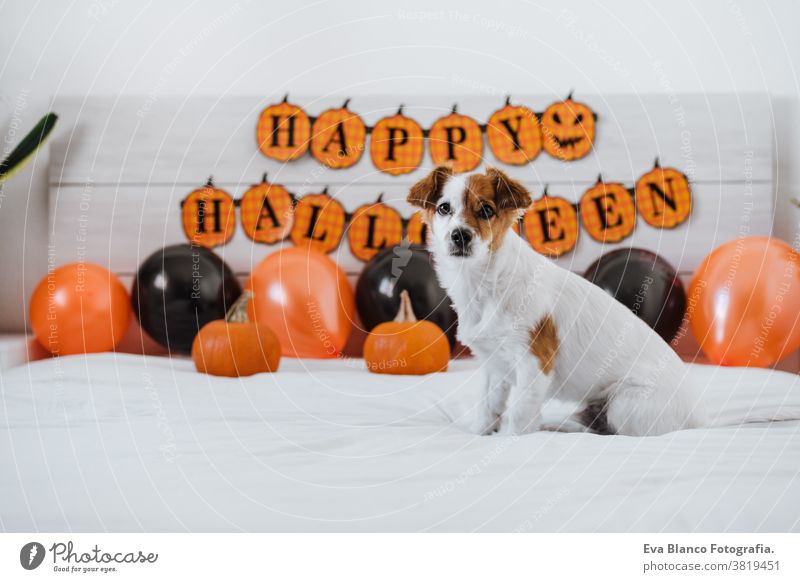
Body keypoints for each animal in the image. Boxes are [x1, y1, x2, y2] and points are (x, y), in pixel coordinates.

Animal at [410, 167, 704, 436]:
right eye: (444, 208)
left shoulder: (534, 363)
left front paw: (509, 441)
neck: (484, 282)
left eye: (485, 210)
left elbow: (519, 416)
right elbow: (488, 407)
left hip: (625, 404)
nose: (460, 235)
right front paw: (480, 434)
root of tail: (696, 418)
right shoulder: (496, 366)